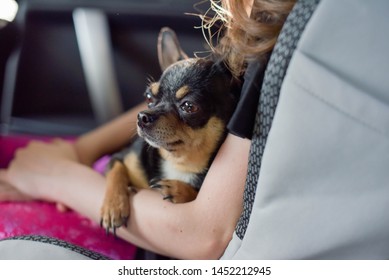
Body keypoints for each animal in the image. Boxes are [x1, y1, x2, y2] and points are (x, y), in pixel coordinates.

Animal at [99, 27, 239, 234]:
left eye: (189, 106)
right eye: (149, 97)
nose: (142, 116)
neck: (180, 163)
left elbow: (196, 194)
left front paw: (181, 190)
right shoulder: (120, 157)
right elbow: (116, 169)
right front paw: (113, 206)